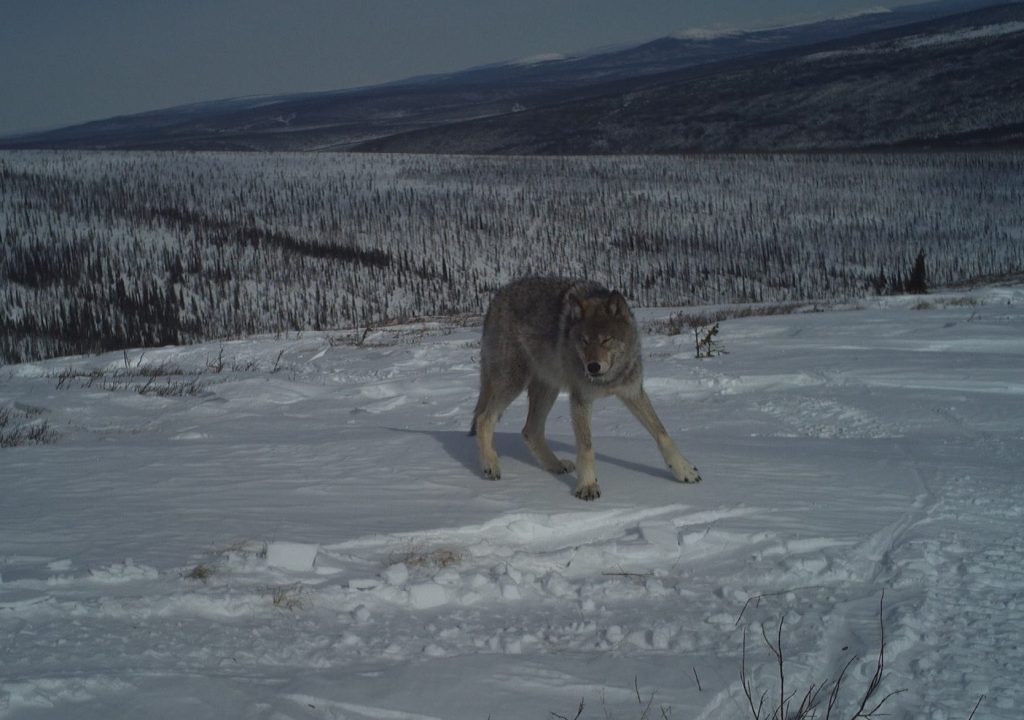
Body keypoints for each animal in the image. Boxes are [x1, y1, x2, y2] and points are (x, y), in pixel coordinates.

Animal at [470, 277, 701, 500]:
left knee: (530, 430)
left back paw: (555, 465)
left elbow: (662, 434)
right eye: (584, 341)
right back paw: (490, 464)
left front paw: (684, 470)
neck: (607, 380)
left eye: (606, 339)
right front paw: (588, 486)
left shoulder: (633, 392)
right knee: (484, 418)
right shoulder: (581, 399)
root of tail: (496, 297)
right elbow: (586, 448)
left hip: (548, 388)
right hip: (514, 382)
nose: (592, 367)